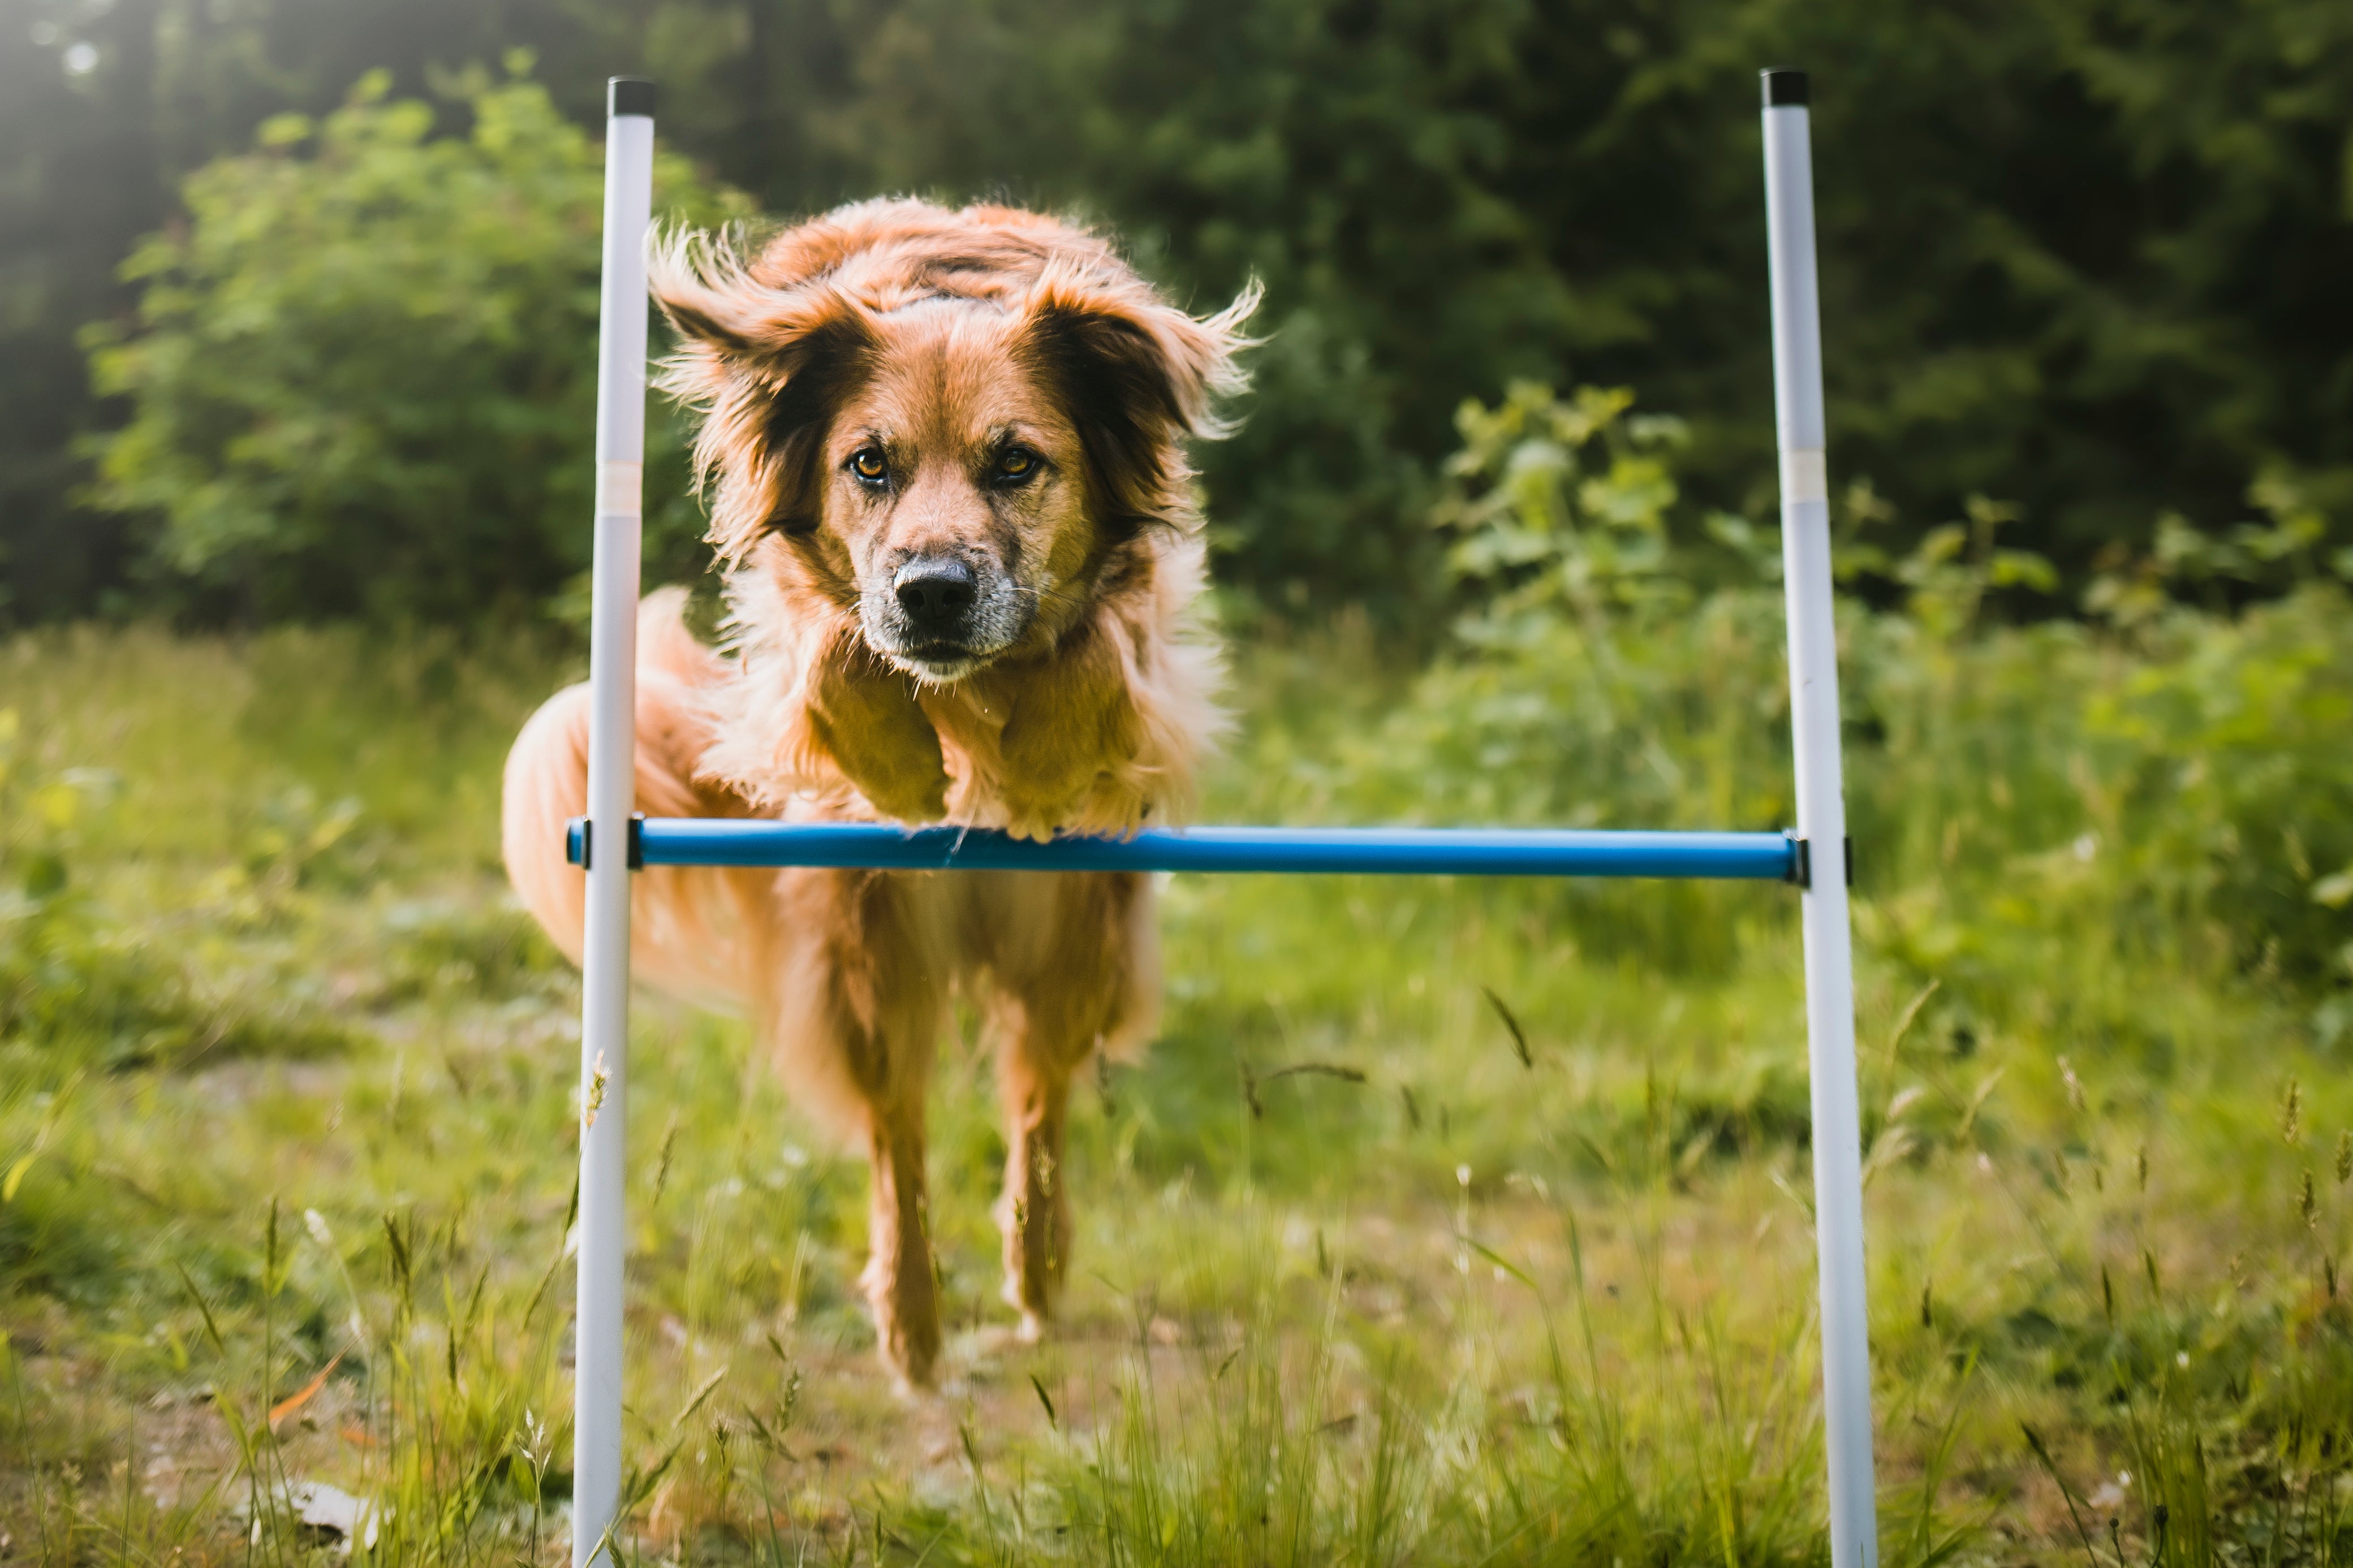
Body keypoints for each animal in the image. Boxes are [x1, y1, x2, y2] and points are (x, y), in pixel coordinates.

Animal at [508, 202, 1261, 1392]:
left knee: (1038, 1102)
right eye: (869, 464)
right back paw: (912, 1318)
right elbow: (837, 642)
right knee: (896, 1132)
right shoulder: (797, 615)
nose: (933, 592)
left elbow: (1093, 646)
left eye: (1018, 462)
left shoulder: (1145, 642)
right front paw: (902, 765)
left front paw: (1037, 767)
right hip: (870, 960)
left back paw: (1037, 1265)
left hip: (1078, 945)